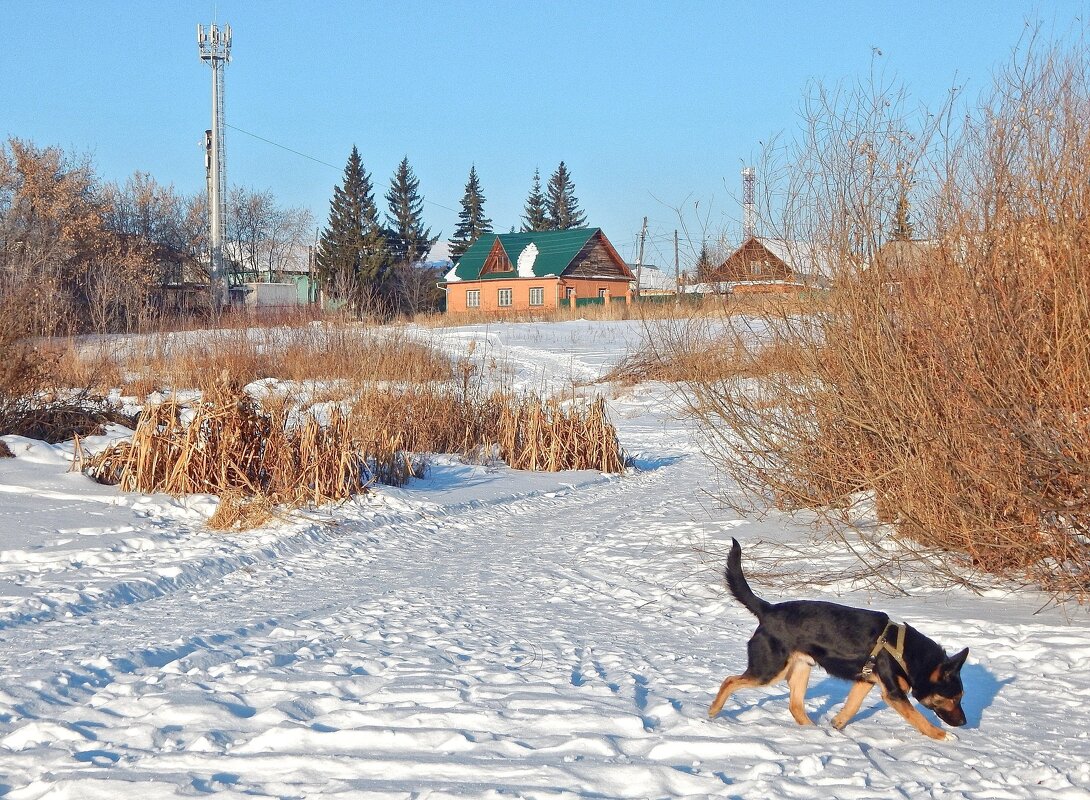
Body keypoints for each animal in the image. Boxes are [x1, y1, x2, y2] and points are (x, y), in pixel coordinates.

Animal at [710, 542, 967, 741]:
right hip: (770, 670)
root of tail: (768, 610)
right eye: (954, 698)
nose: (965, 723)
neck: (904, 652)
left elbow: (852, 706)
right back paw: (713, 711)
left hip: (801, 668)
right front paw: (942, 736)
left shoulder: (865, 681)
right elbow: (918, 718)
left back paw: (814, 732)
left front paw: (836, 725)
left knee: (795, 705)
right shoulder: (894, 694)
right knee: (730, 680)